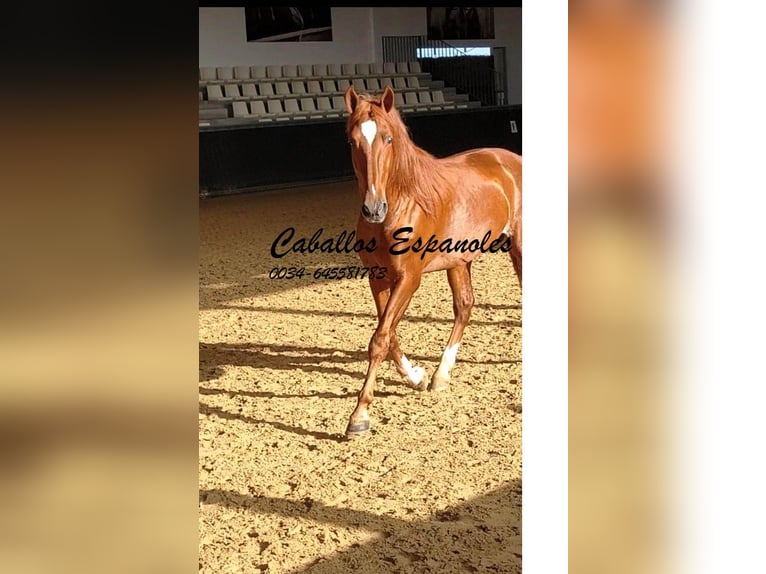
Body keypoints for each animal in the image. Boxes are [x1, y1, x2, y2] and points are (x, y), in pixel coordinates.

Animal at [346, 84, 520, 440]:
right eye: (352, 141)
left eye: (388, 138)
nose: (373, 209)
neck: (403, 203)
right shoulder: (377, 277)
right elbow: (389, 333)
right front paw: (416, 376)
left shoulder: (409, 279)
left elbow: (380, 338)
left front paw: (359, 416)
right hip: (459, 261)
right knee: (465, 306)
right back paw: (441, 374)